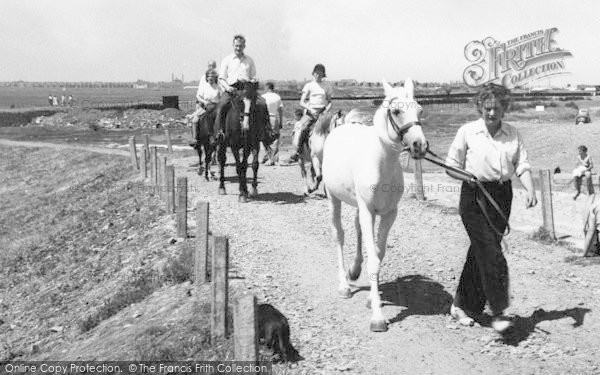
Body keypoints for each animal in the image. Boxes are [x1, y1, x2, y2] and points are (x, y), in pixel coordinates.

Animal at [324, 78, 426, 332]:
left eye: (420, 110)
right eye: (396, 111)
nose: (419, 145)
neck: (381, 164)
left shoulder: (389, 214)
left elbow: (379, 254)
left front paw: (372, 298)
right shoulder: (369, 212)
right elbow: (373, 259)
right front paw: (378, 317)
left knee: (357, 229)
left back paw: (354, 270)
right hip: (334, 199)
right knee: (339, 235)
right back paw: (344, 285)